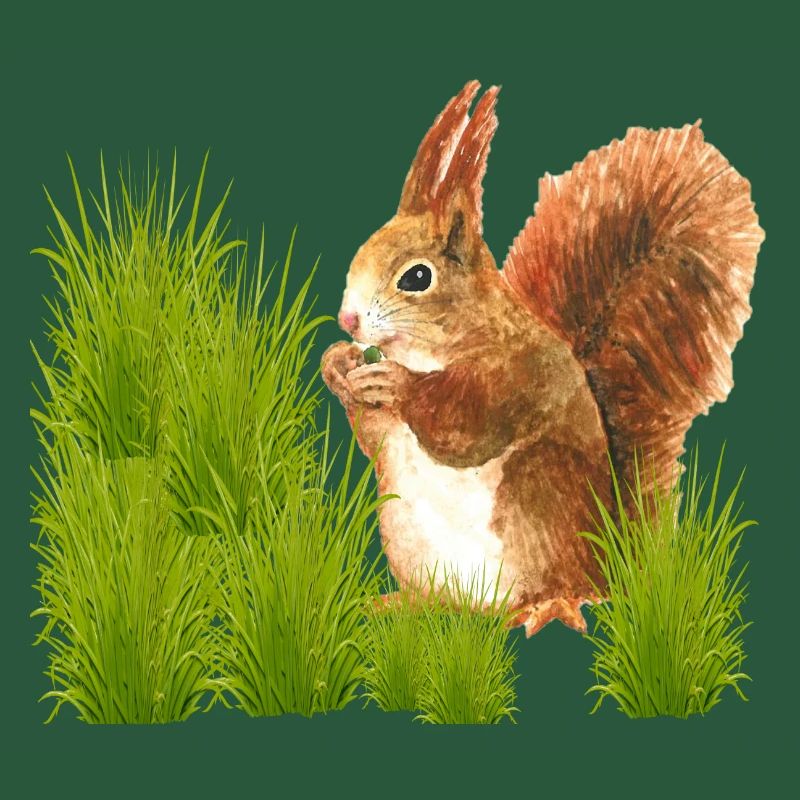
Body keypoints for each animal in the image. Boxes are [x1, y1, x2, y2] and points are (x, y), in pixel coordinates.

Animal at [321, 80, 763, 636]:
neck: (440, 346)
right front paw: (338, 367)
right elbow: (374, 437)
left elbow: (464, 425)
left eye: (417, 277)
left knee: (558, 589)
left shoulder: (518, 374)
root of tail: (608, 564)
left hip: (537, 497)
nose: (348, 320)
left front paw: (396, 383)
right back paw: (402, 605)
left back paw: (545, 606)